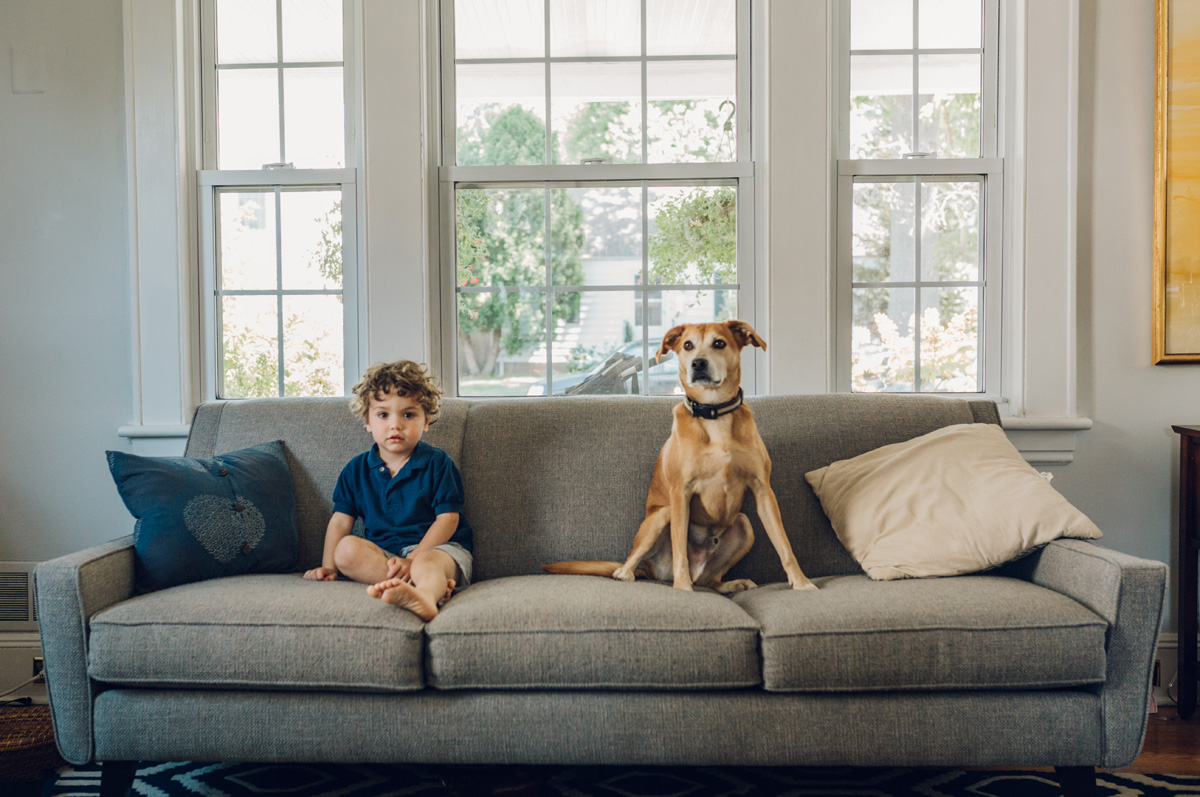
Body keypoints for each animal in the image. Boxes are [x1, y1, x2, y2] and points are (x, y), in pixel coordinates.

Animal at [549, 319, 820, 590]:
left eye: (719, 343)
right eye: (688, 345)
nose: (698, 363)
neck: (714, 413)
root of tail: (653, 571)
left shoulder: (763, 489)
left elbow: (784, 545)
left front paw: (802, 583)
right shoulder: (681, 492)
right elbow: (680, 548)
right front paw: (683, 588)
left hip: (745, 526)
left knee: (712, 580)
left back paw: (730, 584)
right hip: (662, 516)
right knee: (632, 562)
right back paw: (629, 573)